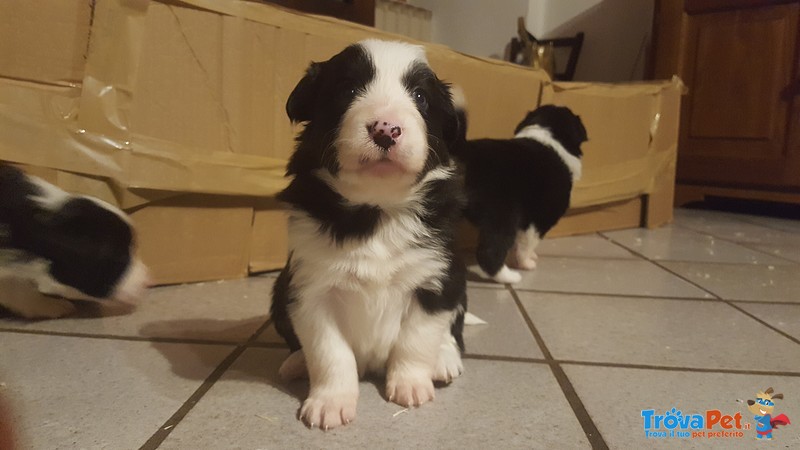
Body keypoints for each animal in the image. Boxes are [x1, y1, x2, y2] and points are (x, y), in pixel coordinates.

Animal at [272, 38, 466, 428]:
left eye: (420, 97)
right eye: (348, 89)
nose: (386, 129)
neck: (376, 210)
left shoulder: (436, 280)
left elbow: (417, 338)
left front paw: (410, 386)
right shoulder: (310, 289)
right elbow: (330, 352)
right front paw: (330, 402)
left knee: (452, 332)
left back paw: (445, 360)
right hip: (278, 291)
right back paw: (296, 362)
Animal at [450, 97, 588, 284]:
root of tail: (467, 151)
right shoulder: (539, 219)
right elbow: (528, 243)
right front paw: (527, 262)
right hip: (503, 215)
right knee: (489, 252)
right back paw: (510, 277)